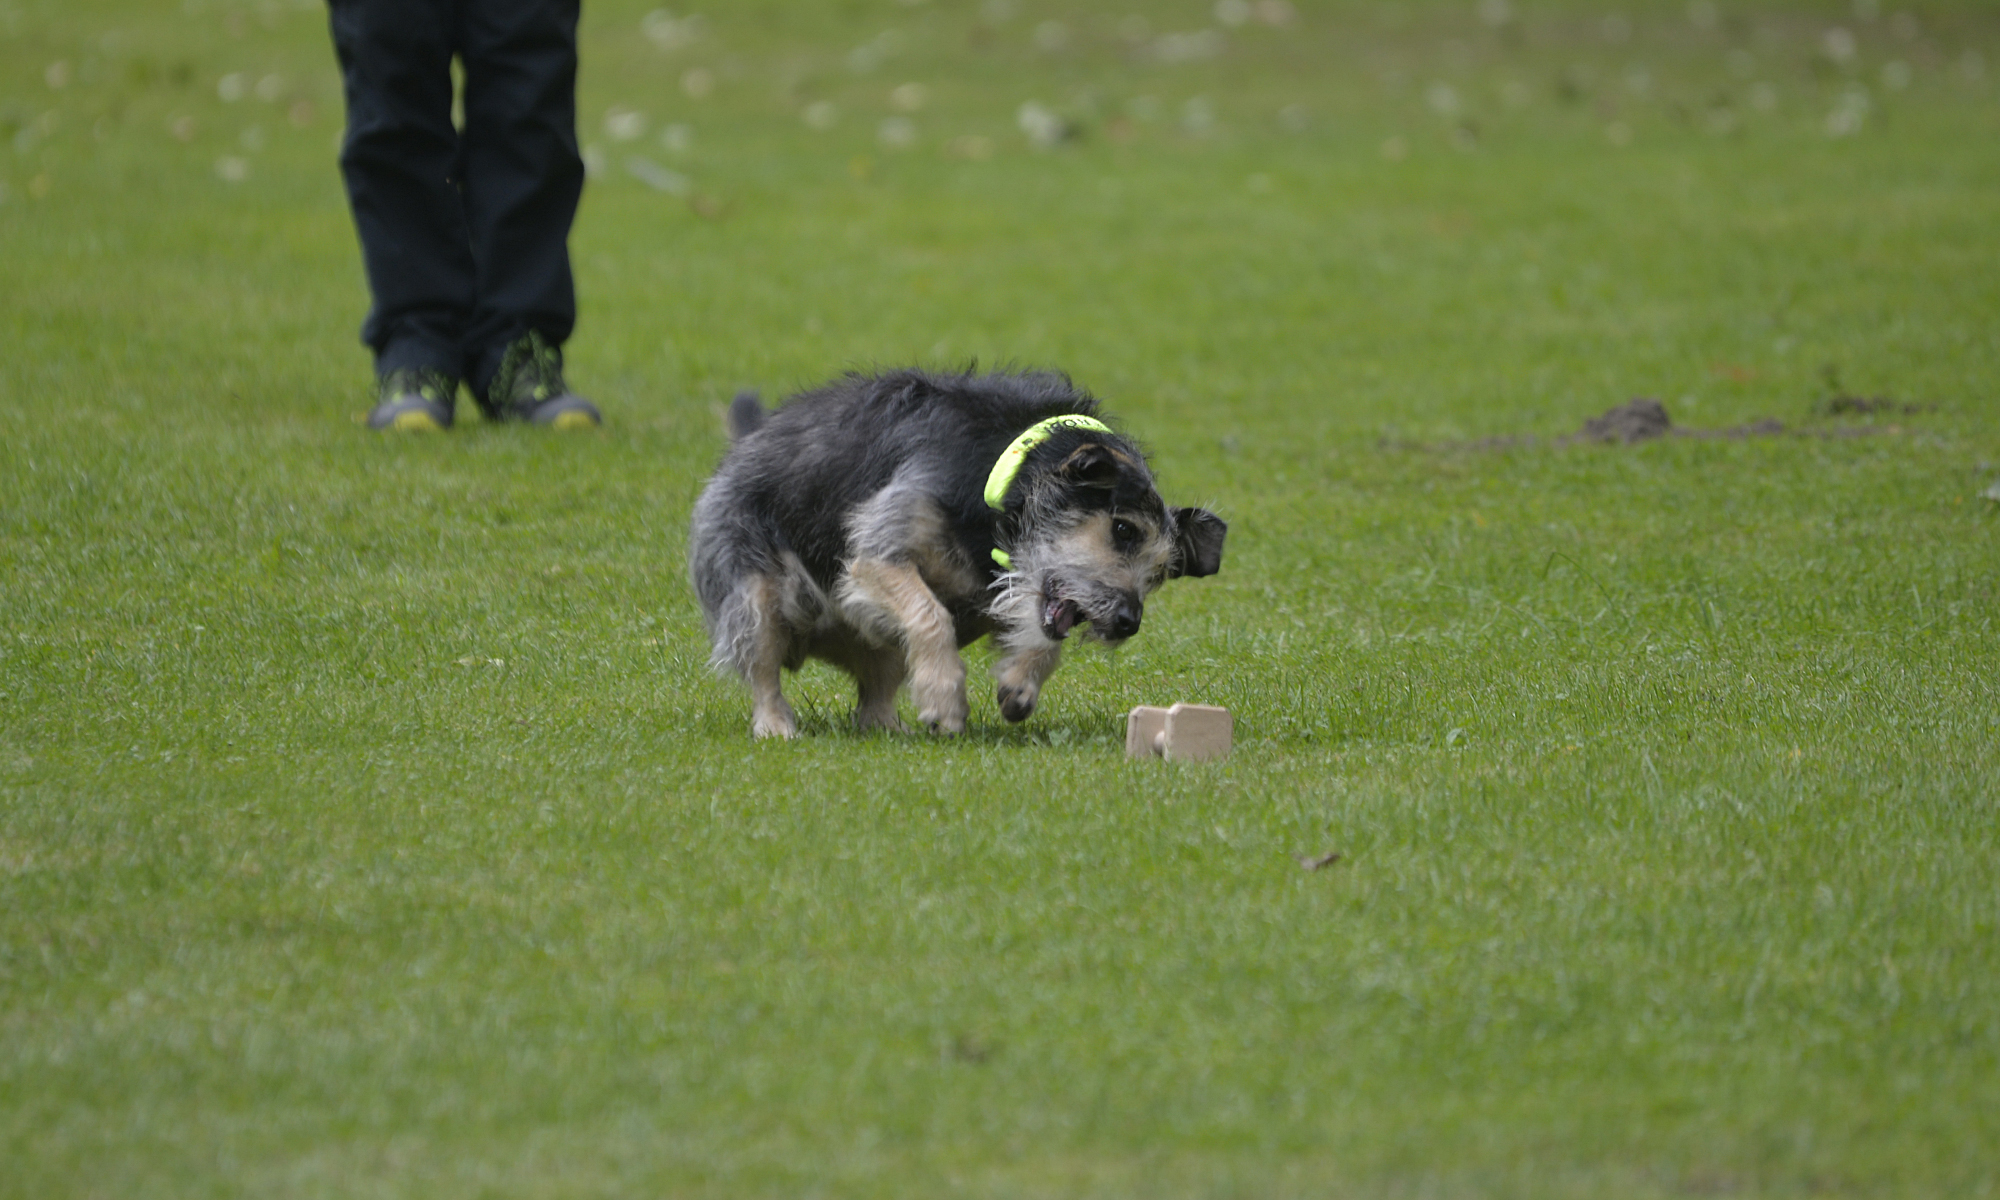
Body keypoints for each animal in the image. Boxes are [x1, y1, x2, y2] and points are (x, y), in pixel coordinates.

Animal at [688, 368, 1224, 740]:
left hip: (880, 647)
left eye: (1159, 573)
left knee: (873, 700)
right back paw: (776, 725)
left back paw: (891, 726)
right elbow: (929, 614)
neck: (1000, 480)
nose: (1129, 622)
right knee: (763, 669)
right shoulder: (879, 552)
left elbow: (1040, 637)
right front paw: (947, 701)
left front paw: (1020, 683)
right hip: (754, 594)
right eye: (1123, 529)